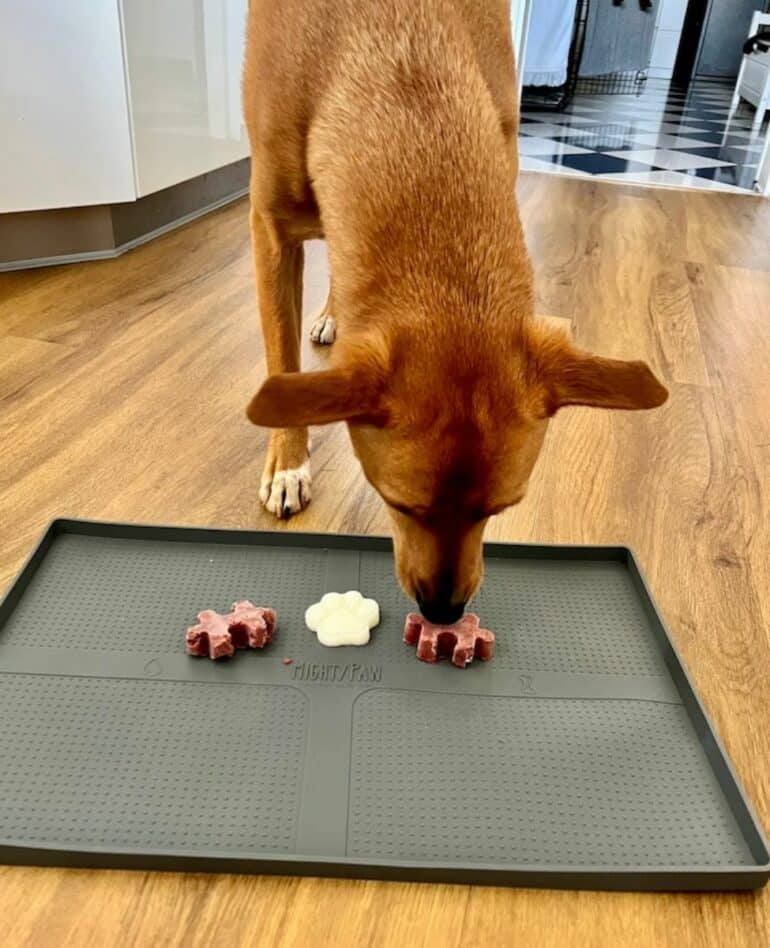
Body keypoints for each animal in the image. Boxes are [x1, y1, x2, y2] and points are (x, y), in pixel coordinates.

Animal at [243, 0, 664, 624]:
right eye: (398, 504)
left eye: (503, 507)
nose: (443, 613)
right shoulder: (269, 229)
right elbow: (280, 358)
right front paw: (289, 462)